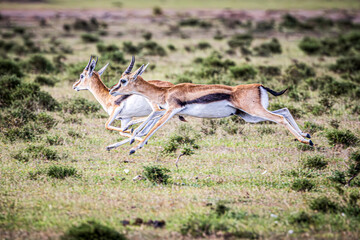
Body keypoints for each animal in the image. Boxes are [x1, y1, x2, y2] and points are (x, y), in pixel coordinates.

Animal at [109, 60, 312, 154]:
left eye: (123, 80)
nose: (112, 91)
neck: (166, 92)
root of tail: (259, 85)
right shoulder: (167, 112)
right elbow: (142, 129)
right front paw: (117, 145)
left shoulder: (171, 110)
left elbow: (153, 127)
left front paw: (134, 148)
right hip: (249, 116)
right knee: (284, 111)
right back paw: (307, 136)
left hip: (254, 112)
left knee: (280, 117)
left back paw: (304, 140)